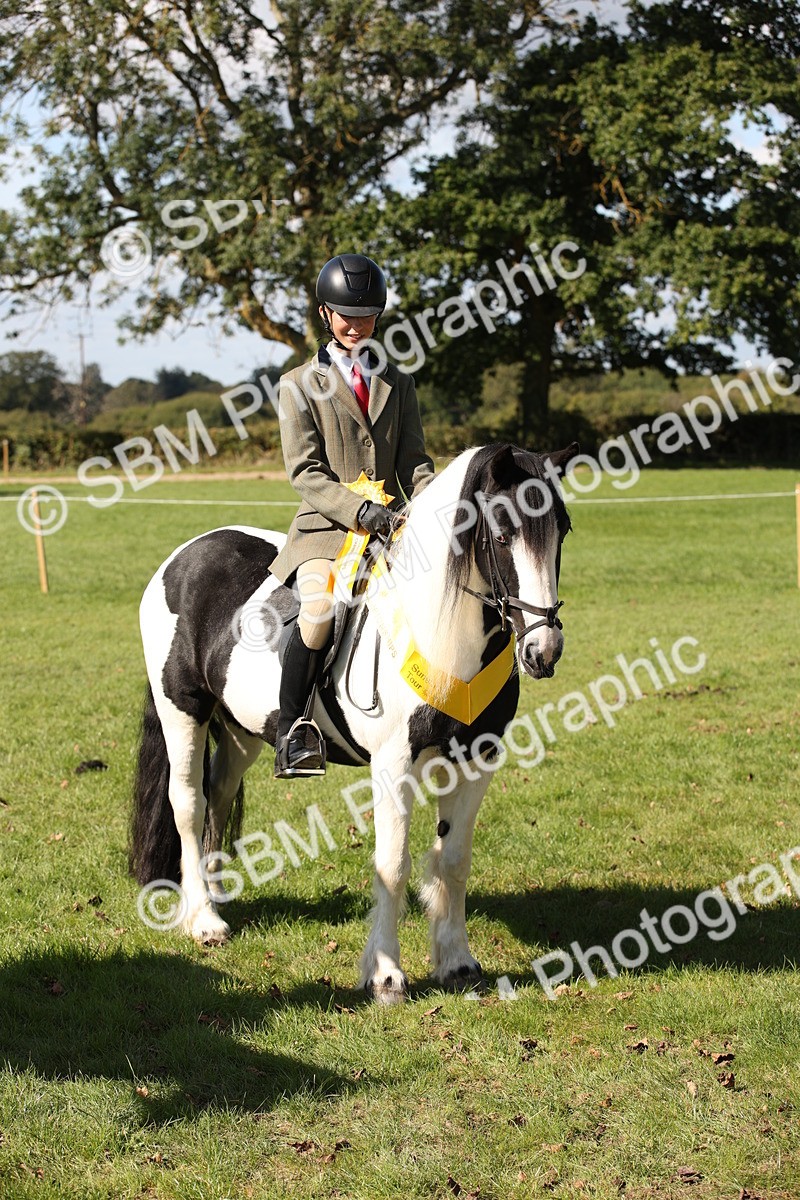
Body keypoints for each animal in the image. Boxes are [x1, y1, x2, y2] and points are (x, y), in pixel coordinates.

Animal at [130, 441, 576, 1003]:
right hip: (183, 709)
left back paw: (215, 896)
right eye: (500, 535)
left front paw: (456, 962)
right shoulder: (393, 765)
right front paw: (385, 975)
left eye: (562, 530)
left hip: (241, 730)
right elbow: (392, 864)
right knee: (188, 803)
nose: (544, 650)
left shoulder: (478, 760)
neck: (445, 635)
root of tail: (184, 555)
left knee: (220, 793)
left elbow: (453, 859)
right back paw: (204, 920)